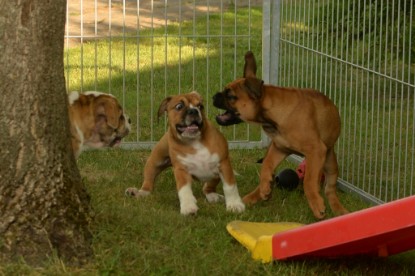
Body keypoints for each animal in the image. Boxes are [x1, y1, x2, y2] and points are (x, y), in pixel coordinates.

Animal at [213, 51, 350, 220]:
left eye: (231, 96)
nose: (213, 97)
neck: (271, 119)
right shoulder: (278, 148)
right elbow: (266, 165)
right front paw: (265, 186)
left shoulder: (315, 150)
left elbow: (309, 180)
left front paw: (316, 204)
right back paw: (256, 194)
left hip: (330, 162)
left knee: (329, 189)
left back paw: (339, 210)